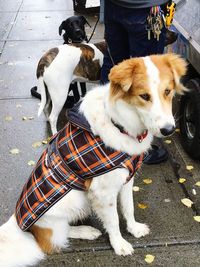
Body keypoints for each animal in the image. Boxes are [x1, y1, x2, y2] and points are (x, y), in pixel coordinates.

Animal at [0, 54, 187, 267]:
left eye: (167, 91)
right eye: (144, 96)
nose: (168, 130)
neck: (120, 124)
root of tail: (18, 223)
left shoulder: (126, 180)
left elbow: (129, 208)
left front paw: (134, 229)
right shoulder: (102, 192)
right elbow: (113, 220)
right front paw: (119, 244)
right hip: (72, 202)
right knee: (53, 240)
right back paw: (85, 231)